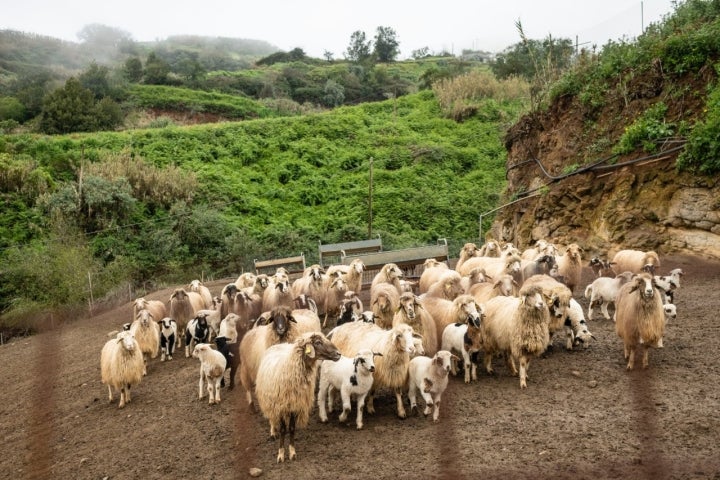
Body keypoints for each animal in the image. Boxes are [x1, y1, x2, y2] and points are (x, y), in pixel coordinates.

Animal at [255, 332, 342, 464]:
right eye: (318, 342)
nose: (338, 354)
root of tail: (280, 344)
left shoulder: (295, 405)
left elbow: (291, 428)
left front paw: (292, 452)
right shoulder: (281, 405)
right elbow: (283, 430)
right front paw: (281, 454)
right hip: (269, 399)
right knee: (272, 416)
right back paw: (273, 431)